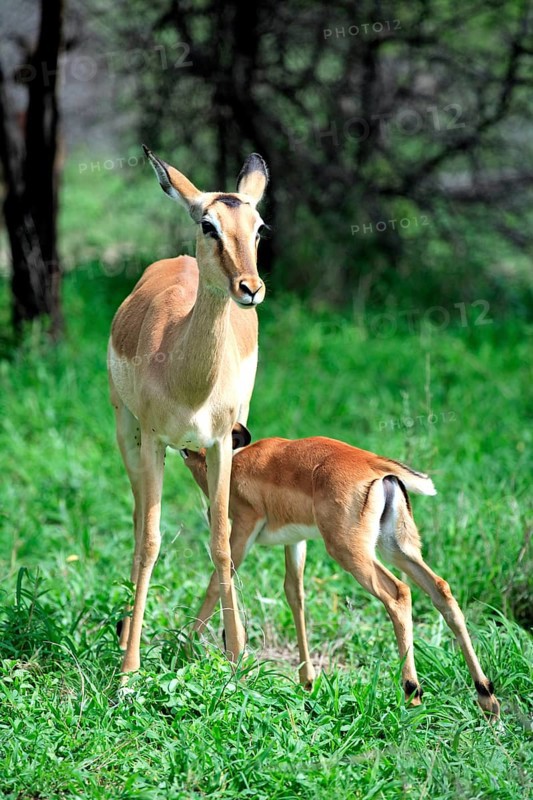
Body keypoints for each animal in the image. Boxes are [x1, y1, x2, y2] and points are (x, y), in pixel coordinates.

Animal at [107, 147, 269, 677]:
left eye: (259, 227)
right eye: (208, 224)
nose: (250, 288)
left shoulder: (219, 443)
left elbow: (220, 539)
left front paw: (236, 658)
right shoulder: (155, 440)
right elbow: (151, 541)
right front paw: (128, 672)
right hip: (128, 433)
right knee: (139, 521)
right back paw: (124, 637)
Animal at [182, 430, 500, 718]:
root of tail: (376, 467)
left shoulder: (243, 528)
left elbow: (217, 580)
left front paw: (187, 648)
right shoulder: (295, 541)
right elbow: (294, 595)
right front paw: (307, 682)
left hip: (351, 553)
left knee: (399, 593)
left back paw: (413, 695)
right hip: (397, 548)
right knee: (441, 590)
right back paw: (487, 699)